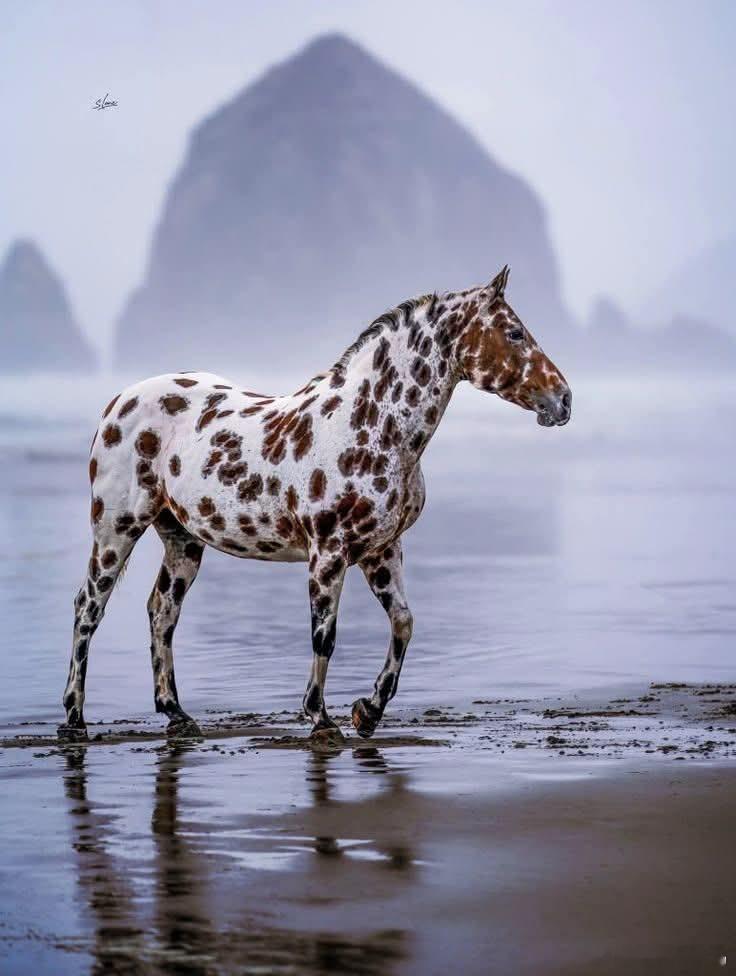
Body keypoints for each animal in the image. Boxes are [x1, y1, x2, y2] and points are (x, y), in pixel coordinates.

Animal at [58, 266, 571, 744]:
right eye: (514, 333)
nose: (563, 399)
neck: (370, 425)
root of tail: (118, 401)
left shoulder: (381, 551)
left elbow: (403, 623)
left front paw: (369, 711)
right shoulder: (328, 554)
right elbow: (324, 636)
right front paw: (321, 719)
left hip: (181, 538)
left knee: (161, 612)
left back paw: (176, 714)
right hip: (116, 529)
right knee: (88, 608)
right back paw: (74, 719)